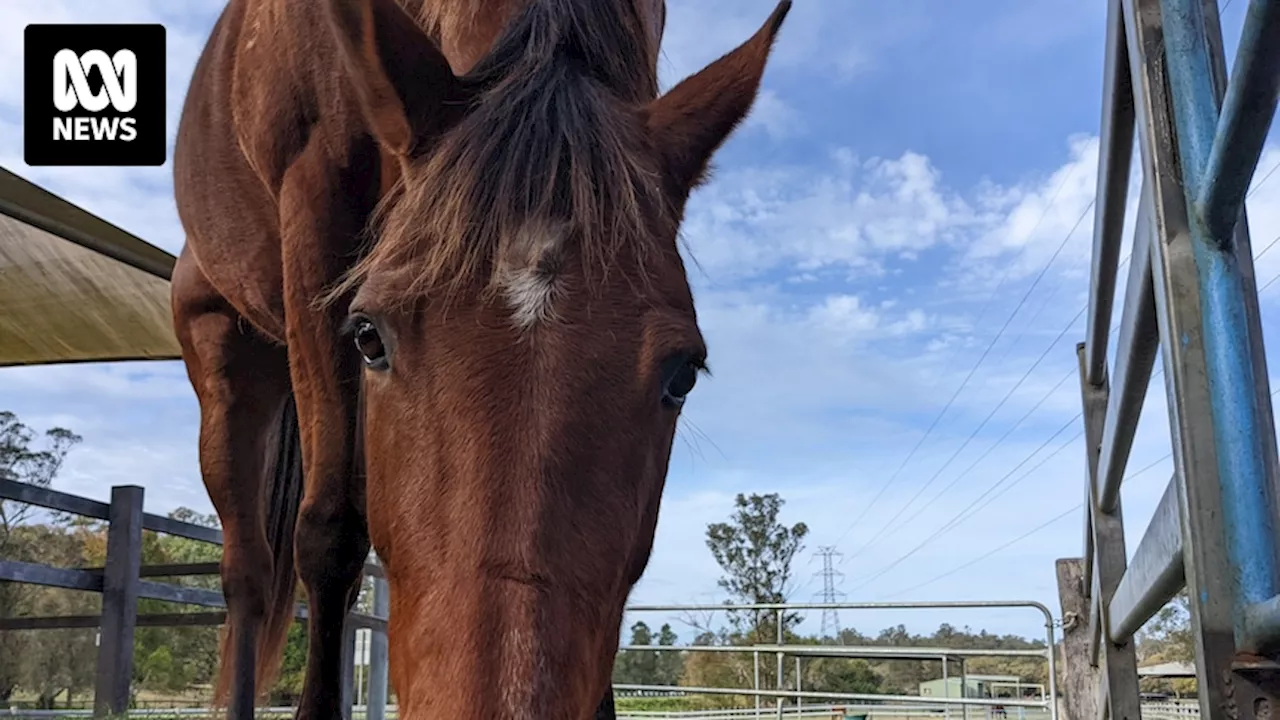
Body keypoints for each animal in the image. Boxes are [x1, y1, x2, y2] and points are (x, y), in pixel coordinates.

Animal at [170, 0, 788, 712]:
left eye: (683, 374)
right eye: (369, 338)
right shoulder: (315, 210)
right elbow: (331, 531)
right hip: (225, 360)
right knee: (248, 574)